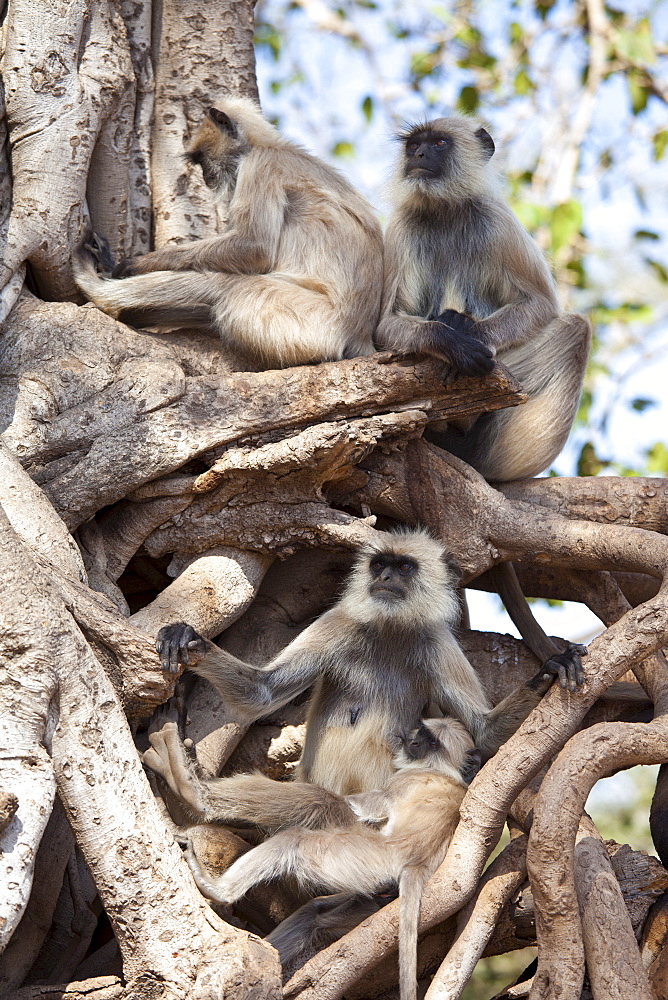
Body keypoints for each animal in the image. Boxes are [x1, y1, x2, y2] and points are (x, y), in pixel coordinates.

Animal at [73, 96, 384, 372]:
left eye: (201, 159)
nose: (204, 176)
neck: (267, 145)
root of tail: (358, 336)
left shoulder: (260, 165)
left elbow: (254, 247)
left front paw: (135, 264)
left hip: (307, 323)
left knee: (227, 285)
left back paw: (97, 288)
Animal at [376, 115, 588, 482]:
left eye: (439, 143)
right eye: (413, 145)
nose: (418, 154)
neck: (445, 209)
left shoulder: (497, 218)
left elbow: (541, 304)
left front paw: (470, 332)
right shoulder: (402, 226)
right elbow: (386, 325)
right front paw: (451, 342)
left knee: (575, 328)